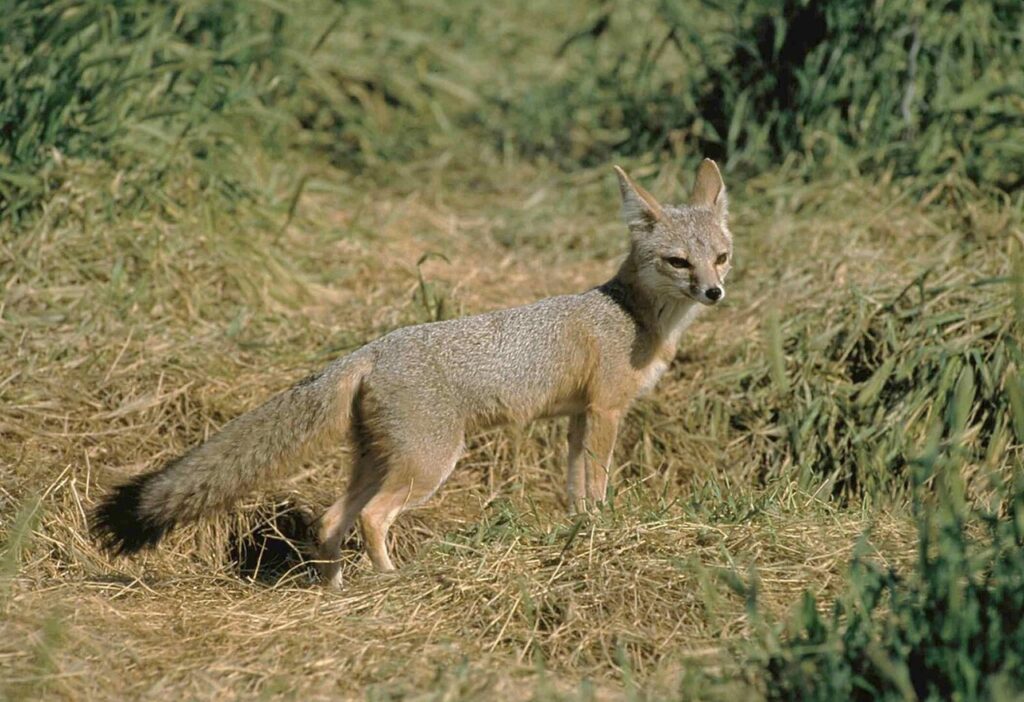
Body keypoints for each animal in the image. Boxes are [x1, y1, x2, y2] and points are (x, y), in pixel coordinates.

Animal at [92, 160, 733, 589]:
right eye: (678, 261)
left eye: (720, 257)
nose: (715, 292)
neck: (632, 315)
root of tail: (373, 347)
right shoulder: (605, 412)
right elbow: (596, 486)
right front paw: (603, 529)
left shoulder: (579, 417)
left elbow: (575, 488)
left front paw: (582, 534)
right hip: (429, 465)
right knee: (371, 517)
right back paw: (392, 579)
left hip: (380, 460)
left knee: (331, 518)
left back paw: (337, 592)